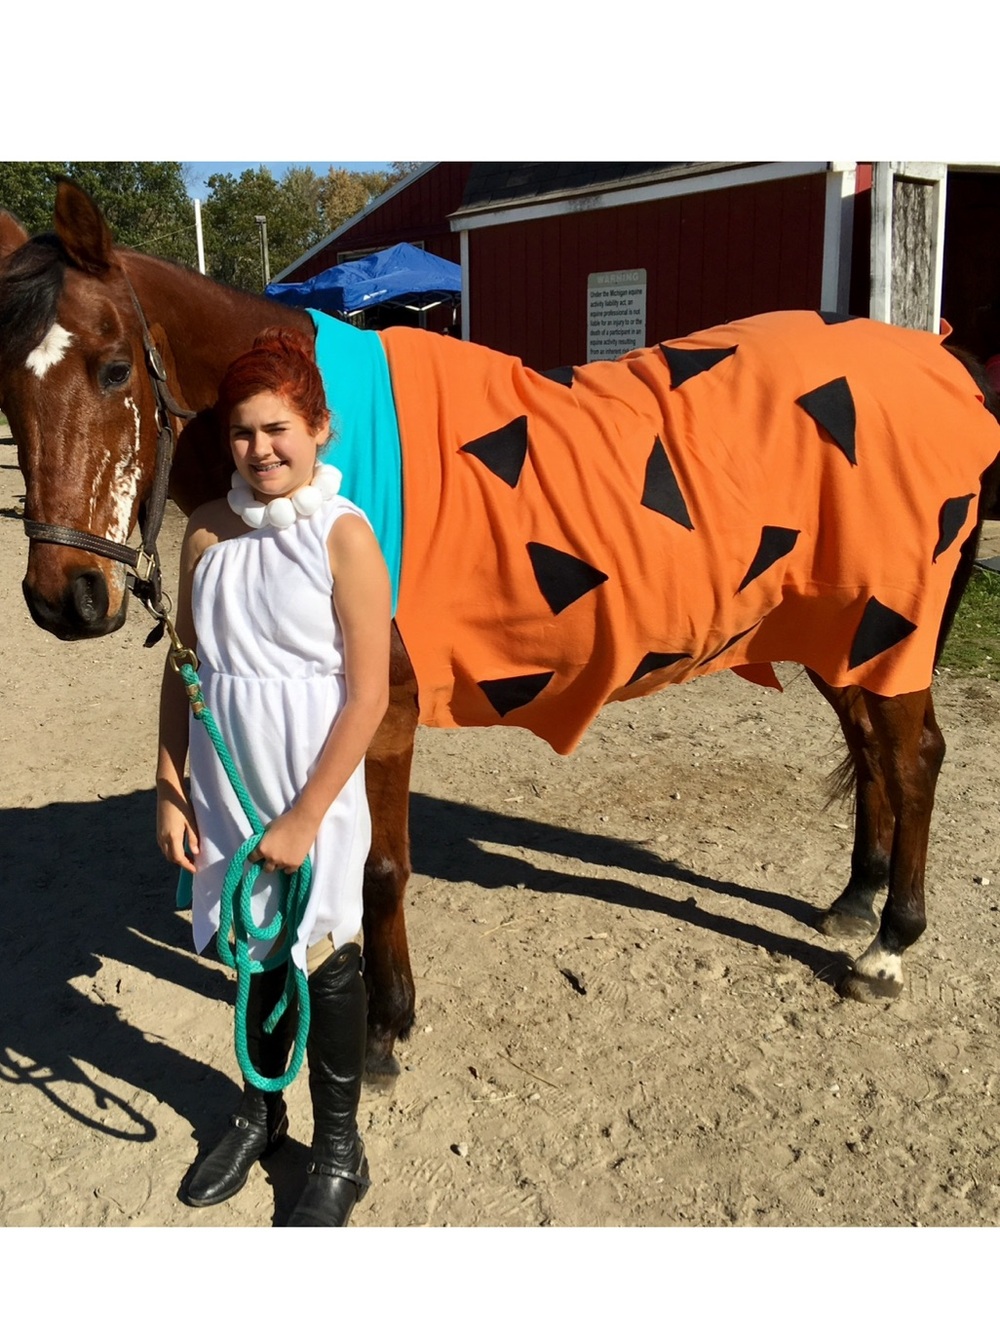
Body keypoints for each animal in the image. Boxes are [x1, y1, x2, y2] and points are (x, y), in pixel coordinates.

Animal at [3, 179, 999, 1081]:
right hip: (841, 630)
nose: (65, 597)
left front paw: (383, 1030)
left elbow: (379, 870)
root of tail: (946, 363)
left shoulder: (382, 711)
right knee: (872, 750)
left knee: (914, 758)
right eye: (5, 389)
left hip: (885, 624)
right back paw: (855, 899)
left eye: (115, 368)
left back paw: (887, 946)